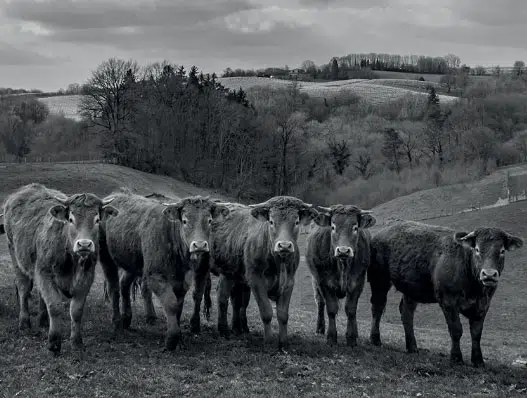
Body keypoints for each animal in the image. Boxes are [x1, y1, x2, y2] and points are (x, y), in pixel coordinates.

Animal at [2, 183, 118, 354]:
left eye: (97, 219)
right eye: (70, 219)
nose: (84, 244)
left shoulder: (86, 277)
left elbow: (76, 310)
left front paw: (76, 342)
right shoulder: (44, 274)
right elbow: (54, 306)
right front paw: (54, 342)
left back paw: (43, 320)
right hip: (15, 256)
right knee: (23, 289)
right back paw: (24, 323)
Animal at [100, 190, 230, 348]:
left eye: (210, 221)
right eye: (185, 221)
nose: (199, 245)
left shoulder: (183, 280)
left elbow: (179, 306)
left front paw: (179, 336)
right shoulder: (155, 276)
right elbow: (171, 303)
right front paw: (172, 339)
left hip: (133, 262)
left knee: (124, 284)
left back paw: (126, 318)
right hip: (106, 257)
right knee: (113, 288)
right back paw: (117, 323)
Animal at [210, 196, 318, 348]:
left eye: (296, 222)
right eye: (271, 221)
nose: (284, 246)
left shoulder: (289, 282)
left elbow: (283, 315)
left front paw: (283, 342)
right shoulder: (256, 280)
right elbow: (266, 312)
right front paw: (268, 341)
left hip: (230, 273)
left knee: (227, 298)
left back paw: (233, 328)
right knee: (222, 297)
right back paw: (223, 330)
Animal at [308, 205, 378, 346]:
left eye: (355, 227)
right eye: (333, 227)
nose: (343, 251)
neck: (343, 265)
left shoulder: (358, 282)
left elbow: (351, 309)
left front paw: (351, 338)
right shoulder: (324, 282)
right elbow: (331, 308)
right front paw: (331, 337)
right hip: (315, 281)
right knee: (320, 302)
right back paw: (320, 328)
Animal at [370, 221, 524, 366]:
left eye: (502, 250)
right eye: (477, 249)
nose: (489, 274)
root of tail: (383, 232)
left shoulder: (483, 305)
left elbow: (476, 333)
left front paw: (478, 360)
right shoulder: (448, 301)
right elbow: (456, 330)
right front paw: (456, 357)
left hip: (410, 289)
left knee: (406, 313)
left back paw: (412, 347)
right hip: (379, 279)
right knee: (378, 307)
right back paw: (375, 339)